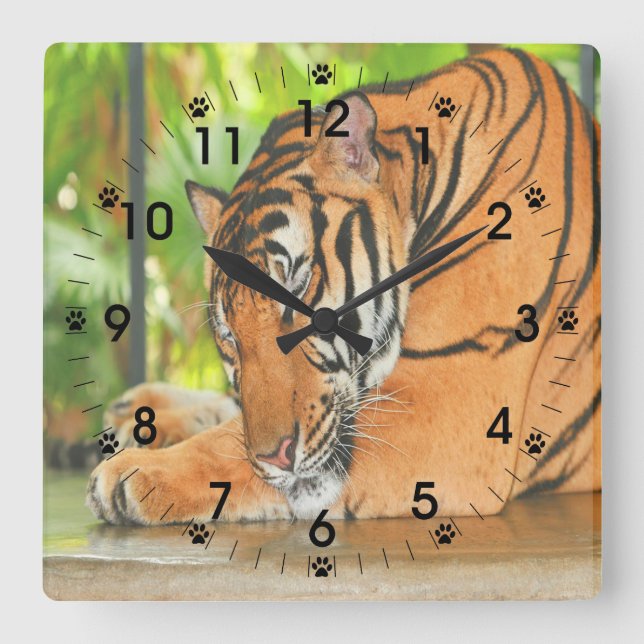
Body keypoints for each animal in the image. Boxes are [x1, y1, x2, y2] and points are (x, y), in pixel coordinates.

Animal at [87, 48, 601, 525]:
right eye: (229, 335)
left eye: (298, 286)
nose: (276, 457)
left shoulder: (448, 405)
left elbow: (229, 443)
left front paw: (132, 473)